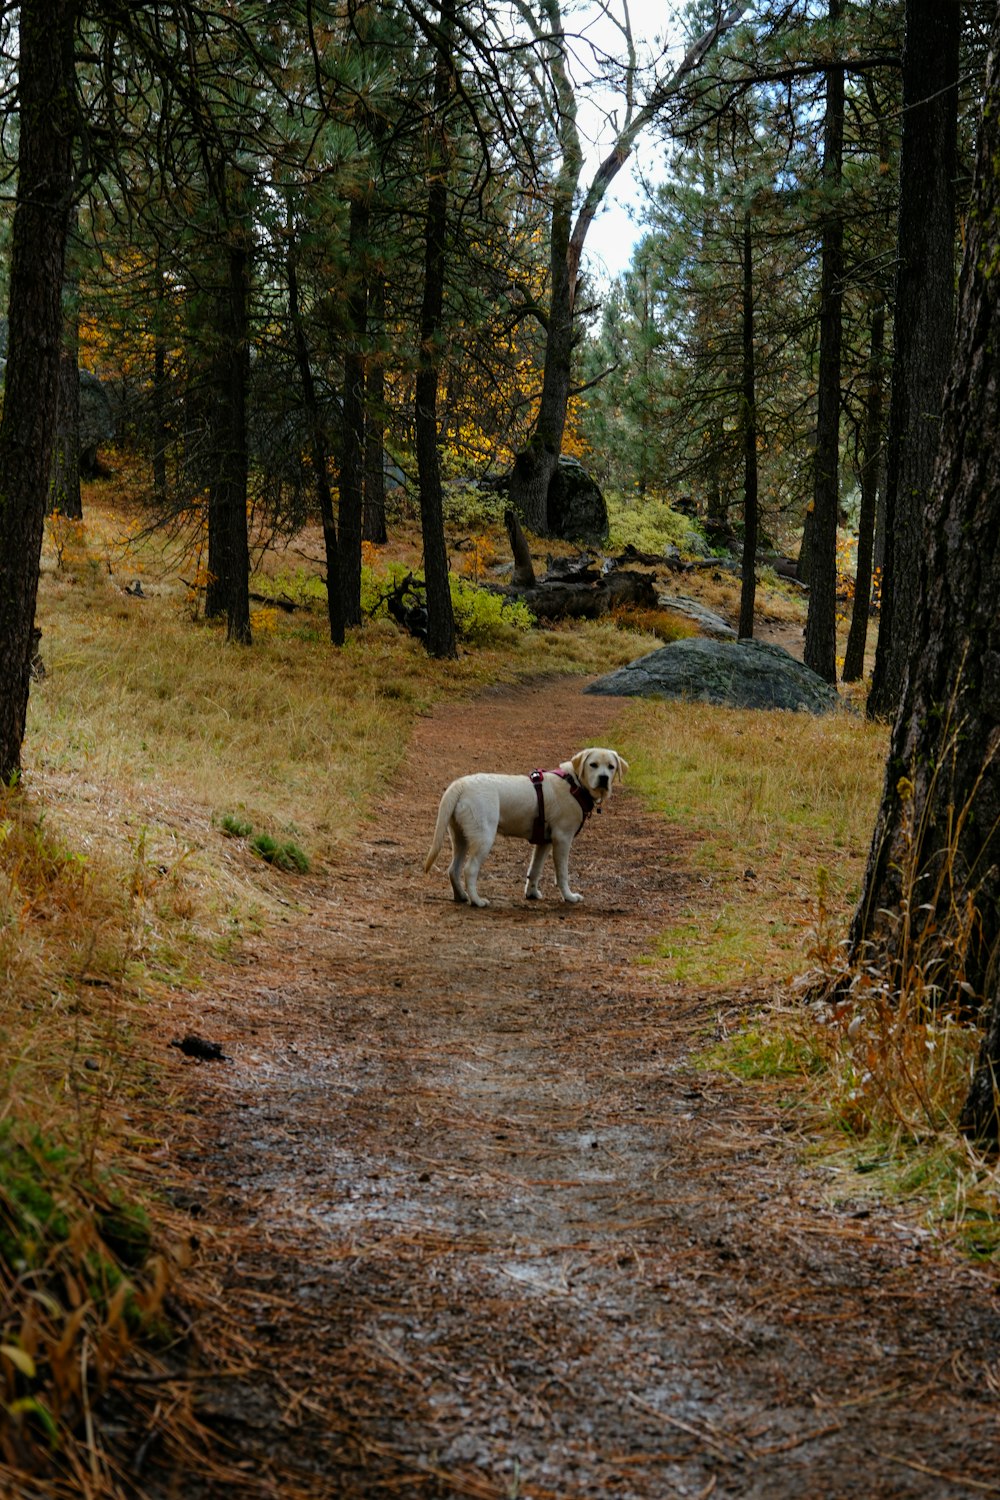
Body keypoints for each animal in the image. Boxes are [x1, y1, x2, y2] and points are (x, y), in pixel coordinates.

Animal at [422, 747, 626, 906]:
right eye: (593, 765)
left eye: (611, 767)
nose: (603, 778)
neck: (574, 783)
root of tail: (460, 784)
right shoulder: (562, 839)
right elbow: (562, 874)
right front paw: (569, 896)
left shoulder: (544, 842)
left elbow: (534, 870)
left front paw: (532, 893)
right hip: (483, 837)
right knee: (469, 869)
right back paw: (477, 901)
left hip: (461, 837)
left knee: (453, 869)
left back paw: (462, 896)